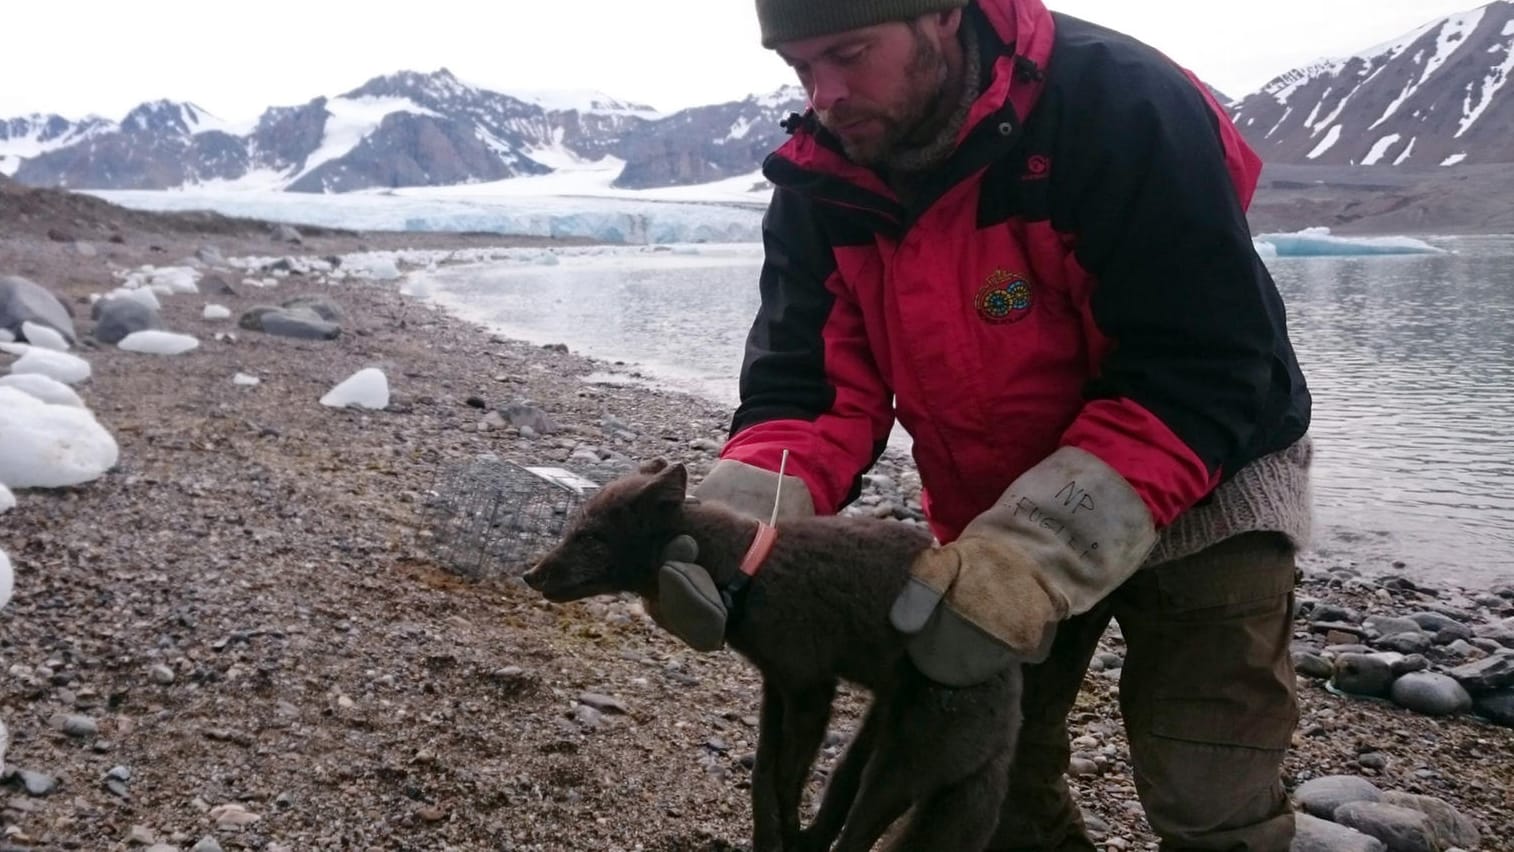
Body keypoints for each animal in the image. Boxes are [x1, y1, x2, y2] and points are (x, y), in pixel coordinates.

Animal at [523, 463, 1029, 847]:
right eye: (574, 531)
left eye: (591, 538)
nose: (530, 574)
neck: (749, 572)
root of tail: (1011, 715)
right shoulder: (775, 686)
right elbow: (765, 773)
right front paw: (770, 832)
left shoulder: (810, 688)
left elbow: (787, 777)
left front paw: (782, 823)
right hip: (870, 741)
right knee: (837, 801)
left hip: (899, 765)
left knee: (858, 832)